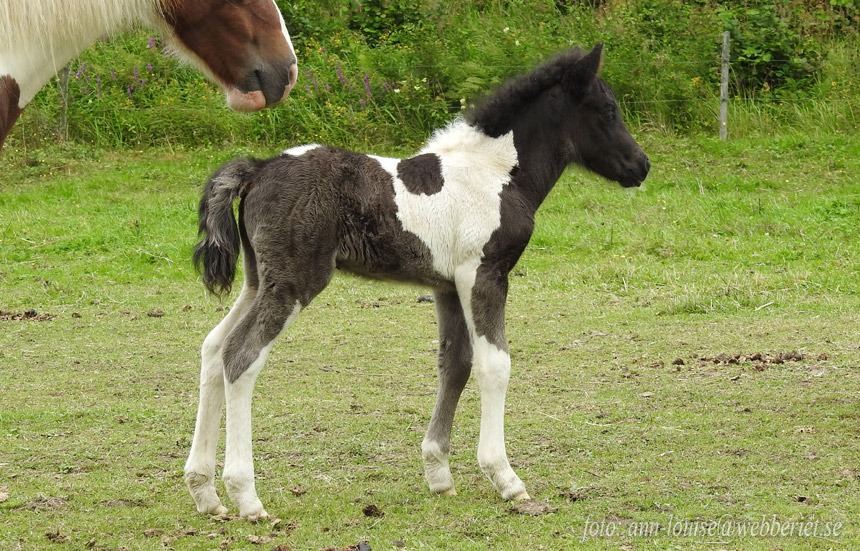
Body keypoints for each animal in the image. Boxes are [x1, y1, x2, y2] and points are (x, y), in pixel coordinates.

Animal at [185, 44, 648, 520]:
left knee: (214, 348)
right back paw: (246, 496)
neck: (495, 174)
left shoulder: (447, 285)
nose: (641, 166)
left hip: (258, 281)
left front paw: (439, 474)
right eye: (608, 110)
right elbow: (494, 364)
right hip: (294, 282)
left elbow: (456, 364)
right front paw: (506, 479)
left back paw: (205, 492)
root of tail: (258, 168)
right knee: (241, 355)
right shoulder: (484, 273)